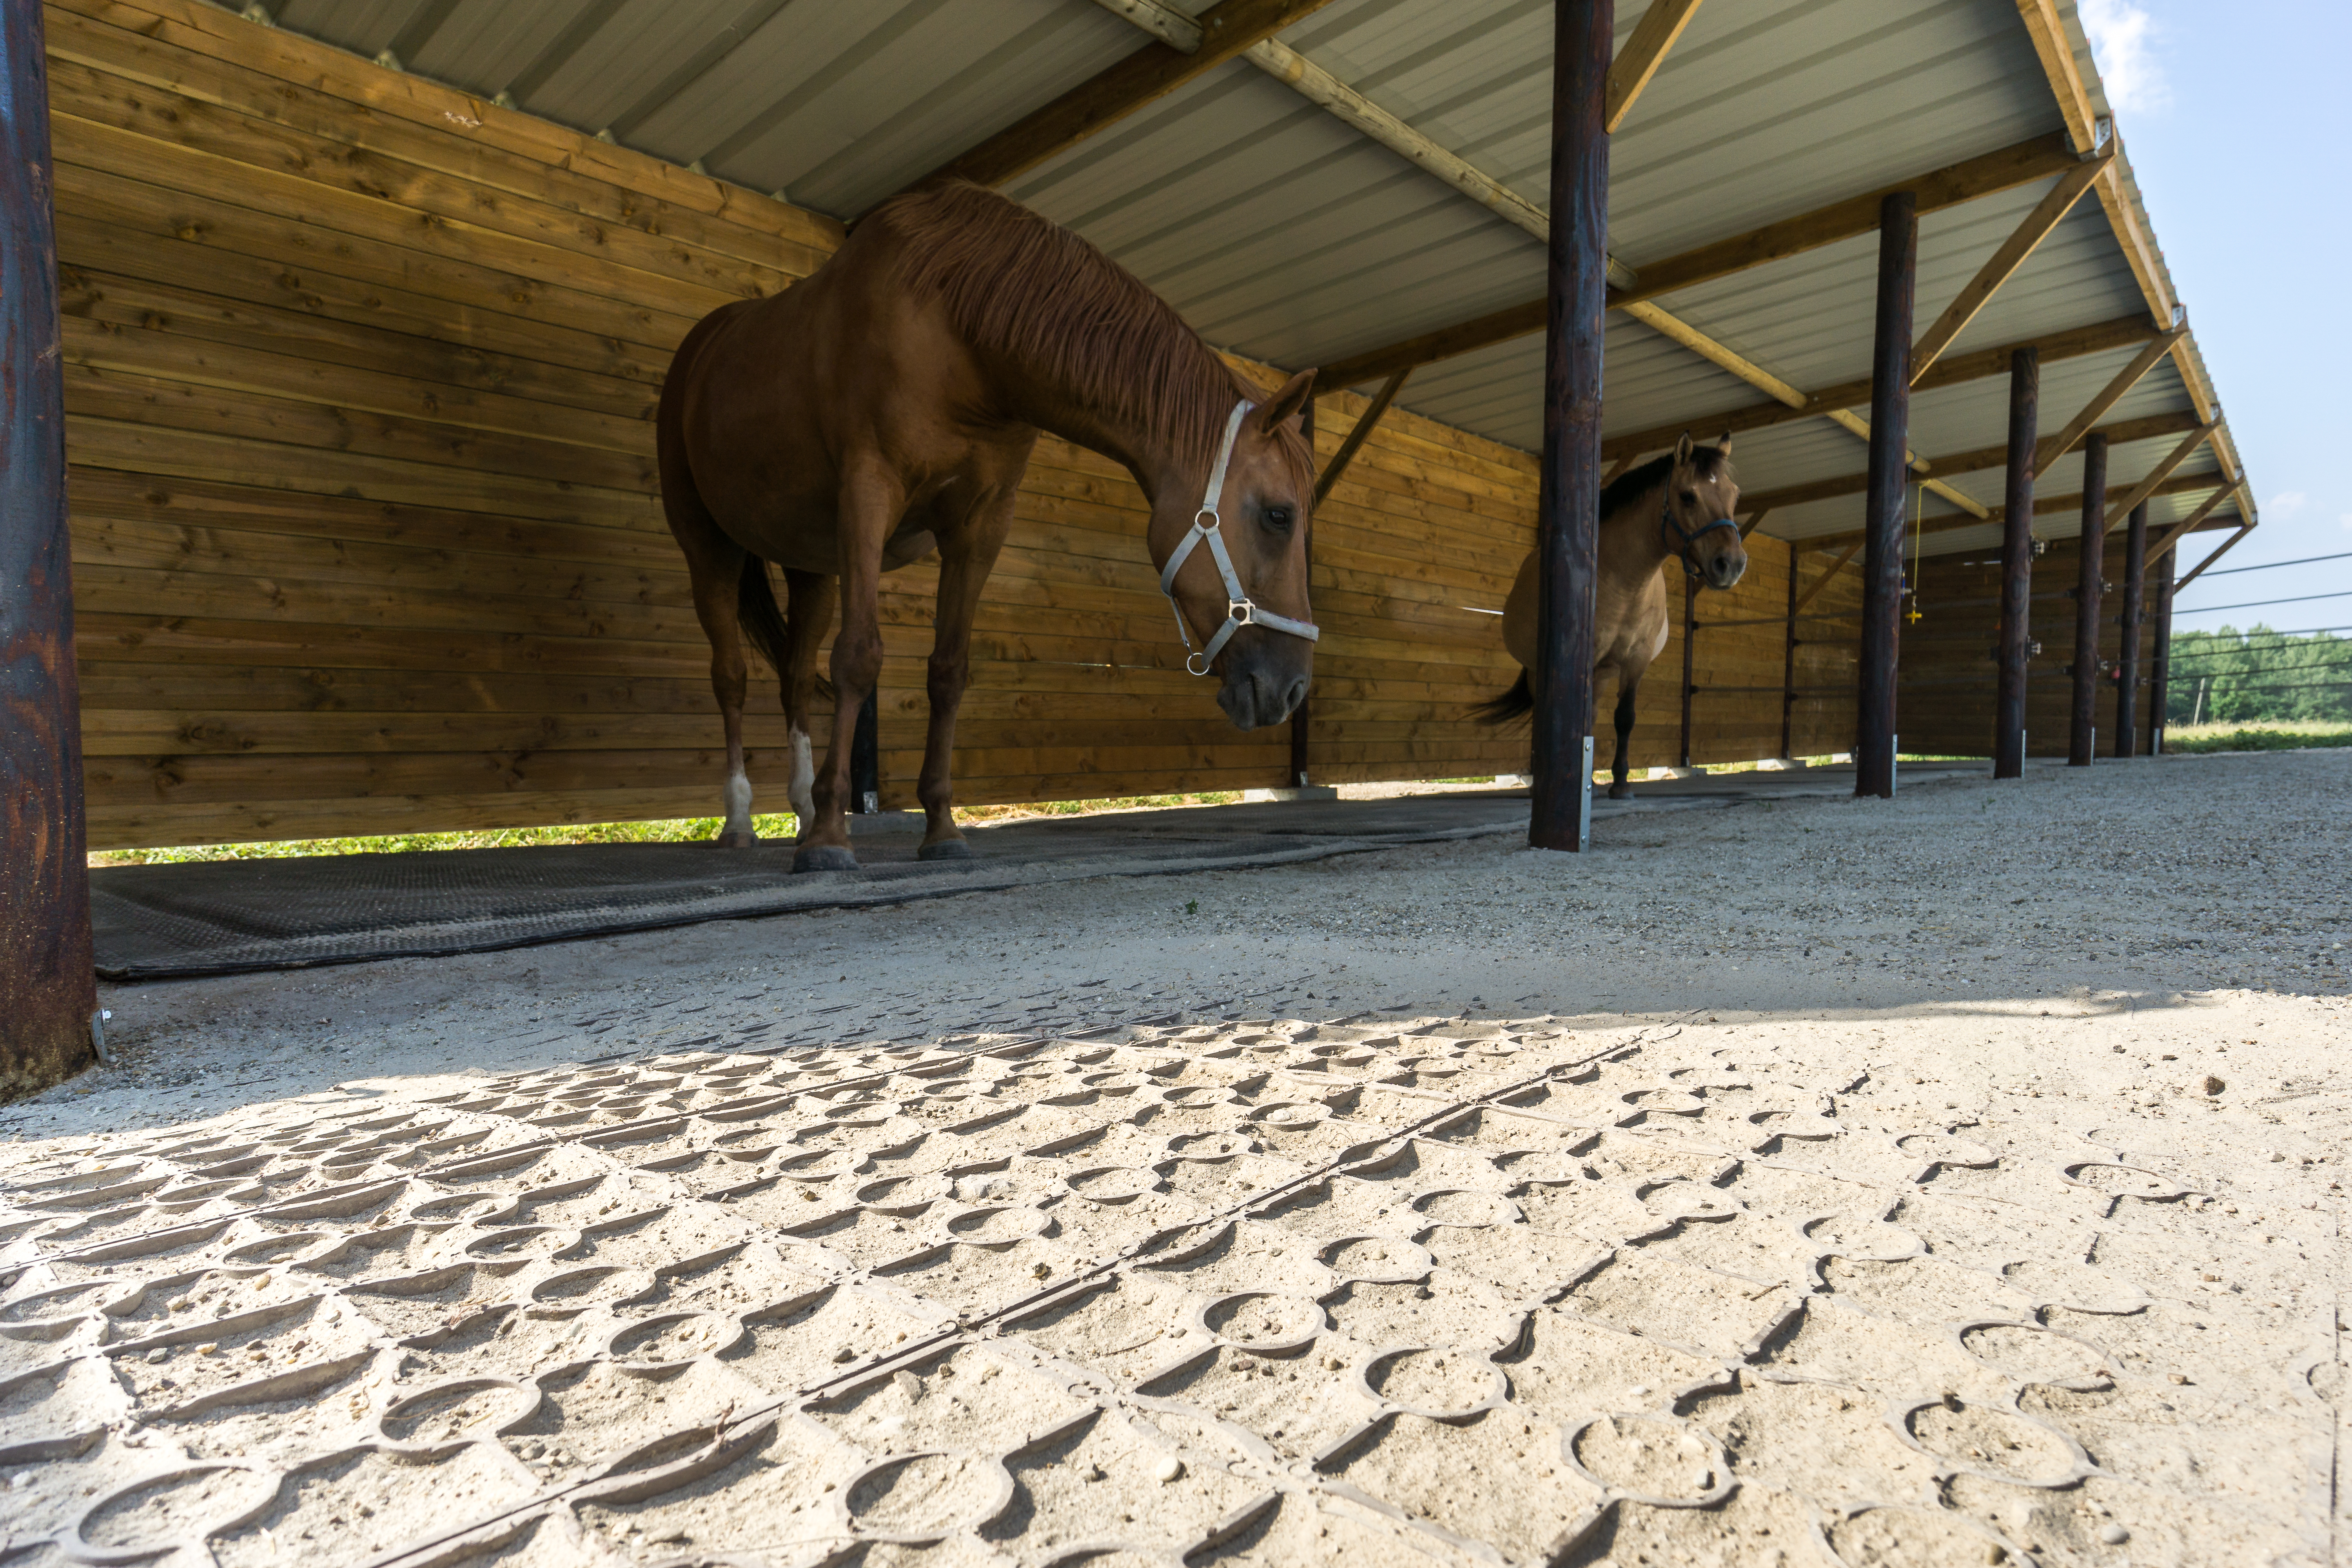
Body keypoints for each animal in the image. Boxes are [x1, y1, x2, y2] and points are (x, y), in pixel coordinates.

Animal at [663, 187, 1327, 869]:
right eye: (1279, 515)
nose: (1294, 690)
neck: (959, 333)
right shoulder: (867, 495)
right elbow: (858, 655)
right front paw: (830, 839)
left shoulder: (980, 525)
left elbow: (949, 672)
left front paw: (940, 829)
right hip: (708, 547)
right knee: (732, 676)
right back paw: (742, 819)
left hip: (812, 565)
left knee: (794, 676)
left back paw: (798, 808)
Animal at [1468, 439, 1750, 799]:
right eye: (1688, 496)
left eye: (1734, 495)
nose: (1732, 564)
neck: (1624, 582)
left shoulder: (1635, 660)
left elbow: (1624, 718)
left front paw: (1620, 784)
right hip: (1541, 671)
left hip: (1601, 674)